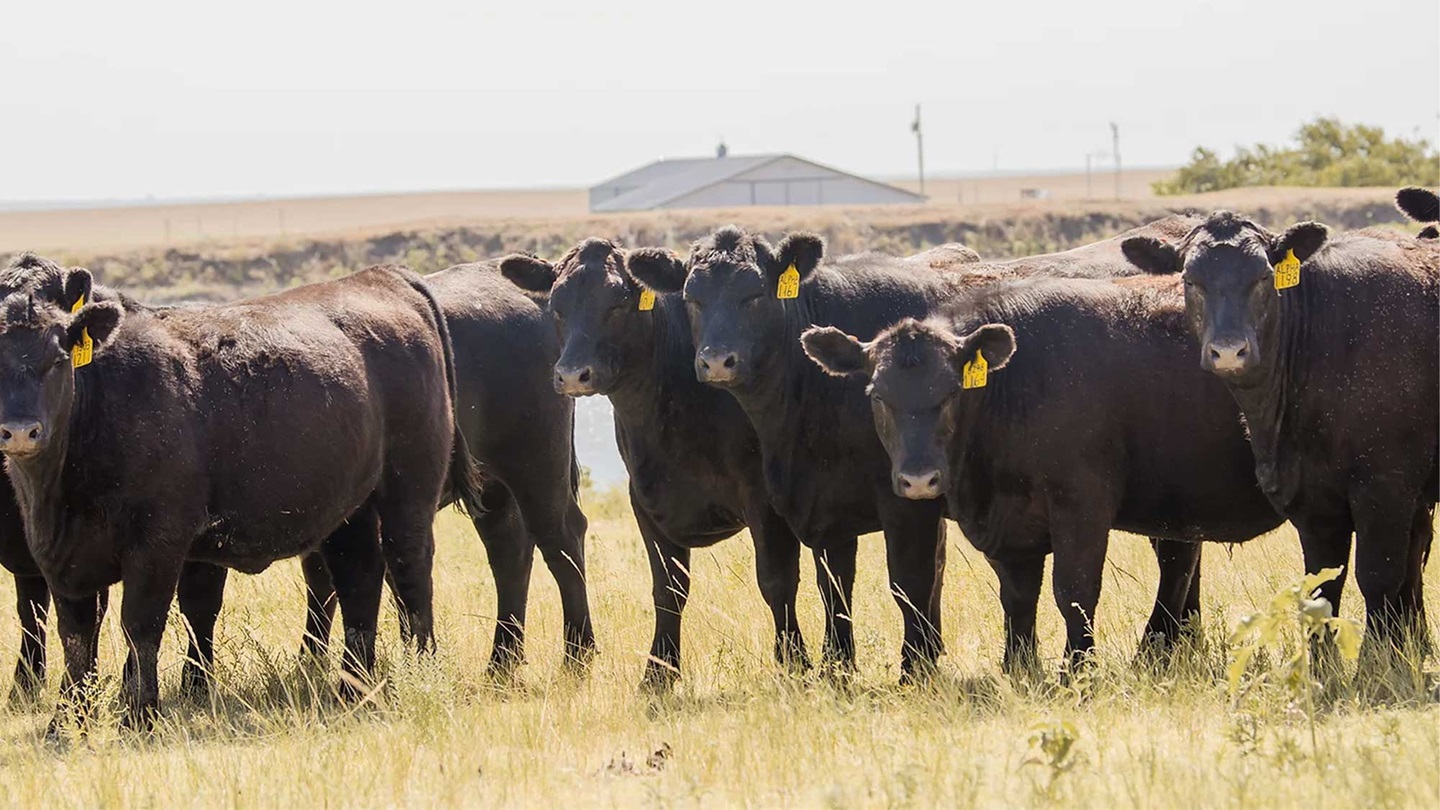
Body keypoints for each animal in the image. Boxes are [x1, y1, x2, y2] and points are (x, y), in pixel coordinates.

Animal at [0, 263, 483, 726]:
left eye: (58, 358)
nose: (21, 431)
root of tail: (383, 276)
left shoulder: (157, 544)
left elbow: (140, 626)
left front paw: (138, 717)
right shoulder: (61, 559)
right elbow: (75, 639)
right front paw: (65, 723)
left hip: (408, 488)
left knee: (409, 570)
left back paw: (422, 671)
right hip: (352, 509)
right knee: (359, 581)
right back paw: (353, 689)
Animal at [498, 236, 817, 683]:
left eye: (618, 301)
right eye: (556, 305)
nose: (572, 374)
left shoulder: (762, 498)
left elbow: (776, 581)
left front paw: (795, 663)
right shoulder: (645, 500)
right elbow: (667, 589)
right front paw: (659, 671)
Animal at [800, 273, 1284, 665]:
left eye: (953, 391)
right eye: (877, 395)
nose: (920, 479)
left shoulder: (1083, 503)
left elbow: (1074, 592)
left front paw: (1078, 671)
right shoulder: (1008, 528)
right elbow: (1017, 598)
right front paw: (1019, 667)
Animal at [1123, 213, 1440, 648]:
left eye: (1263, 276)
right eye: (1190, 279)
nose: (1228, 351)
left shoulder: (1386, 488)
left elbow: (1378, 580)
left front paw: (1378, 658)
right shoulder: (1313, 502)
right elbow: (1322, 589)